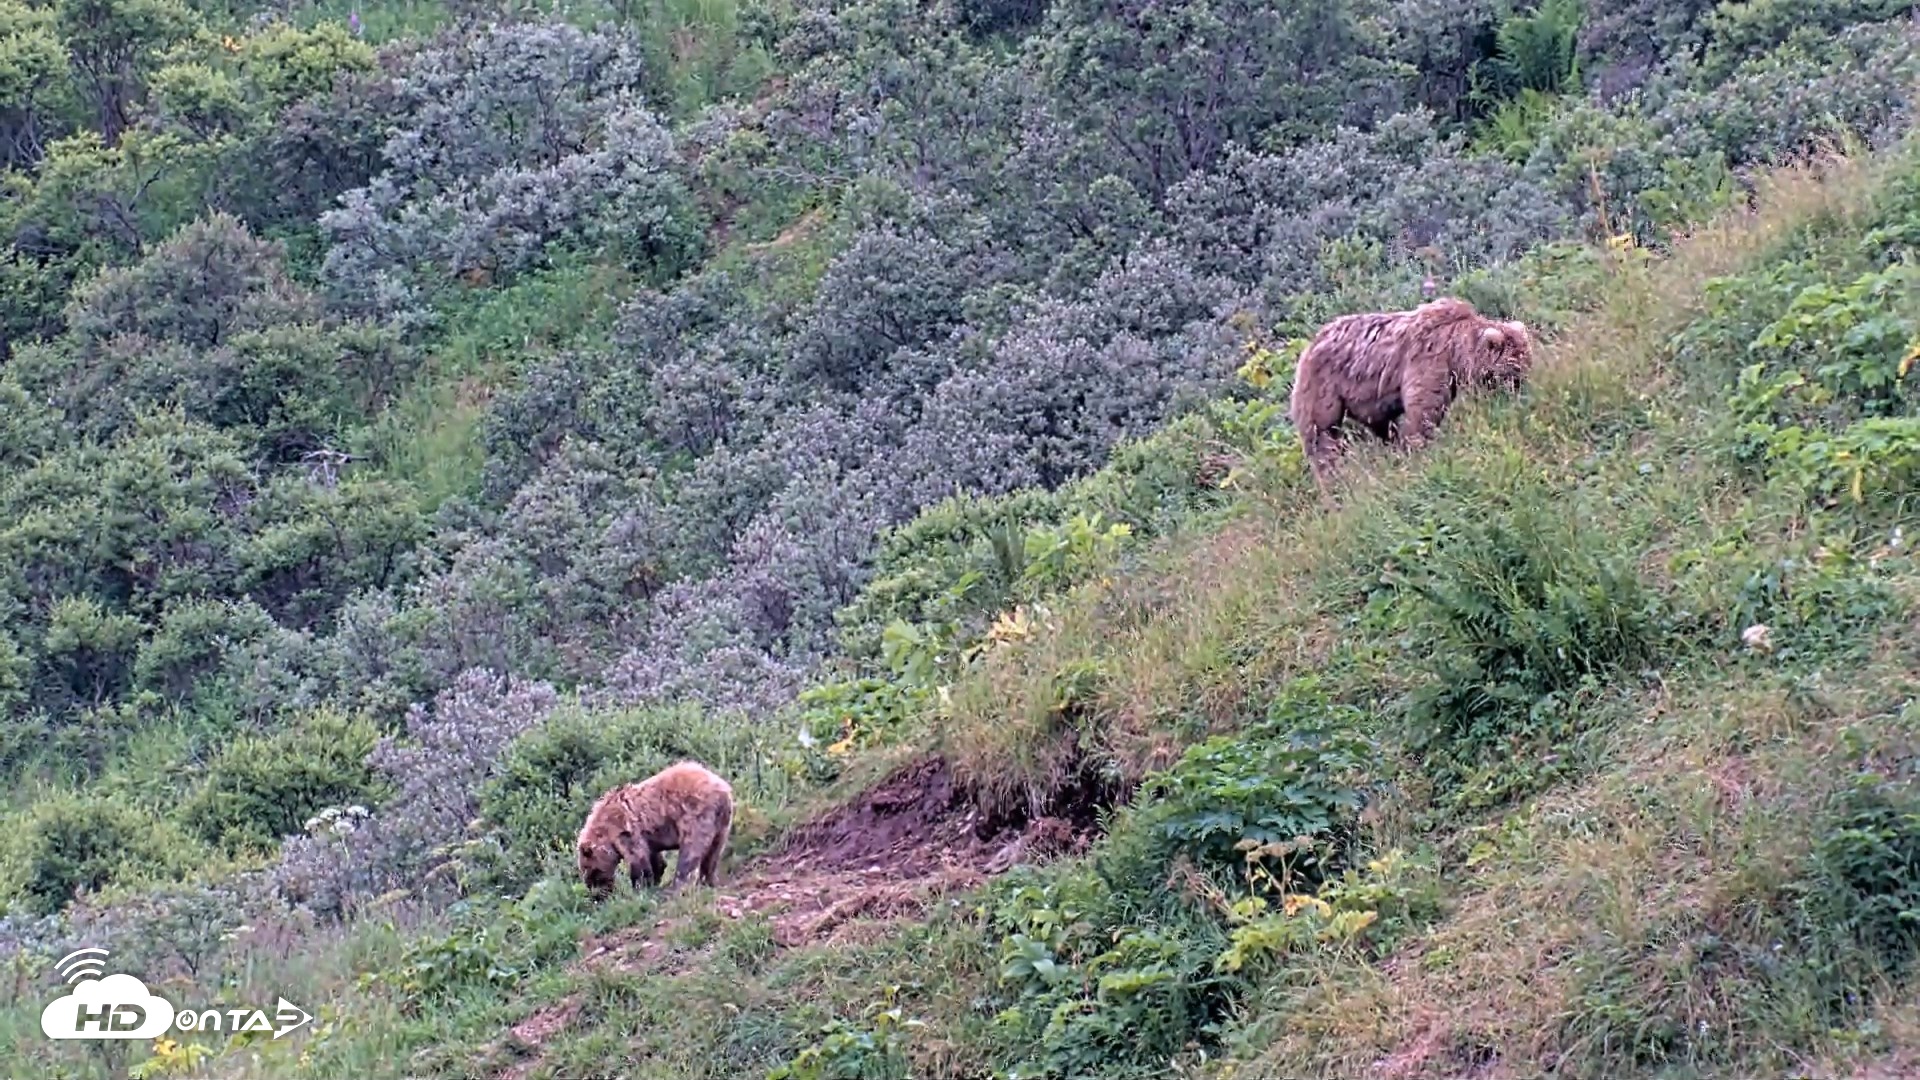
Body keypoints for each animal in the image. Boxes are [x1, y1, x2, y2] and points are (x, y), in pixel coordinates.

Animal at [576, 760, 734, 898]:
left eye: (592, 871)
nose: (596, 895)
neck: (606, 831)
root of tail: (722, 790)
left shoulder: (626, 832)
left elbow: (638, 860)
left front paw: (640, 887)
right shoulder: (647, 837)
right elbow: (654, 858)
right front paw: (655, 879)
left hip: (695, 815)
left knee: (690, 852)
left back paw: (677, 887)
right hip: (722, 824)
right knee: (713, 853)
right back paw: (708, 881)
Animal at [1287, 296, 1535, 485]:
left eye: (1526, 365)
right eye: (1513, 372)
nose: (1522, 391)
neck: (1456, 351)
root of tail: (1309, 346)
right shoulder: (1429, 360)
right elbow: (1423, 411)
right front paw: (1420, 451)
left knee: (1382, 427)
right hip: (1323, 387)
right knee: (1322, 434)